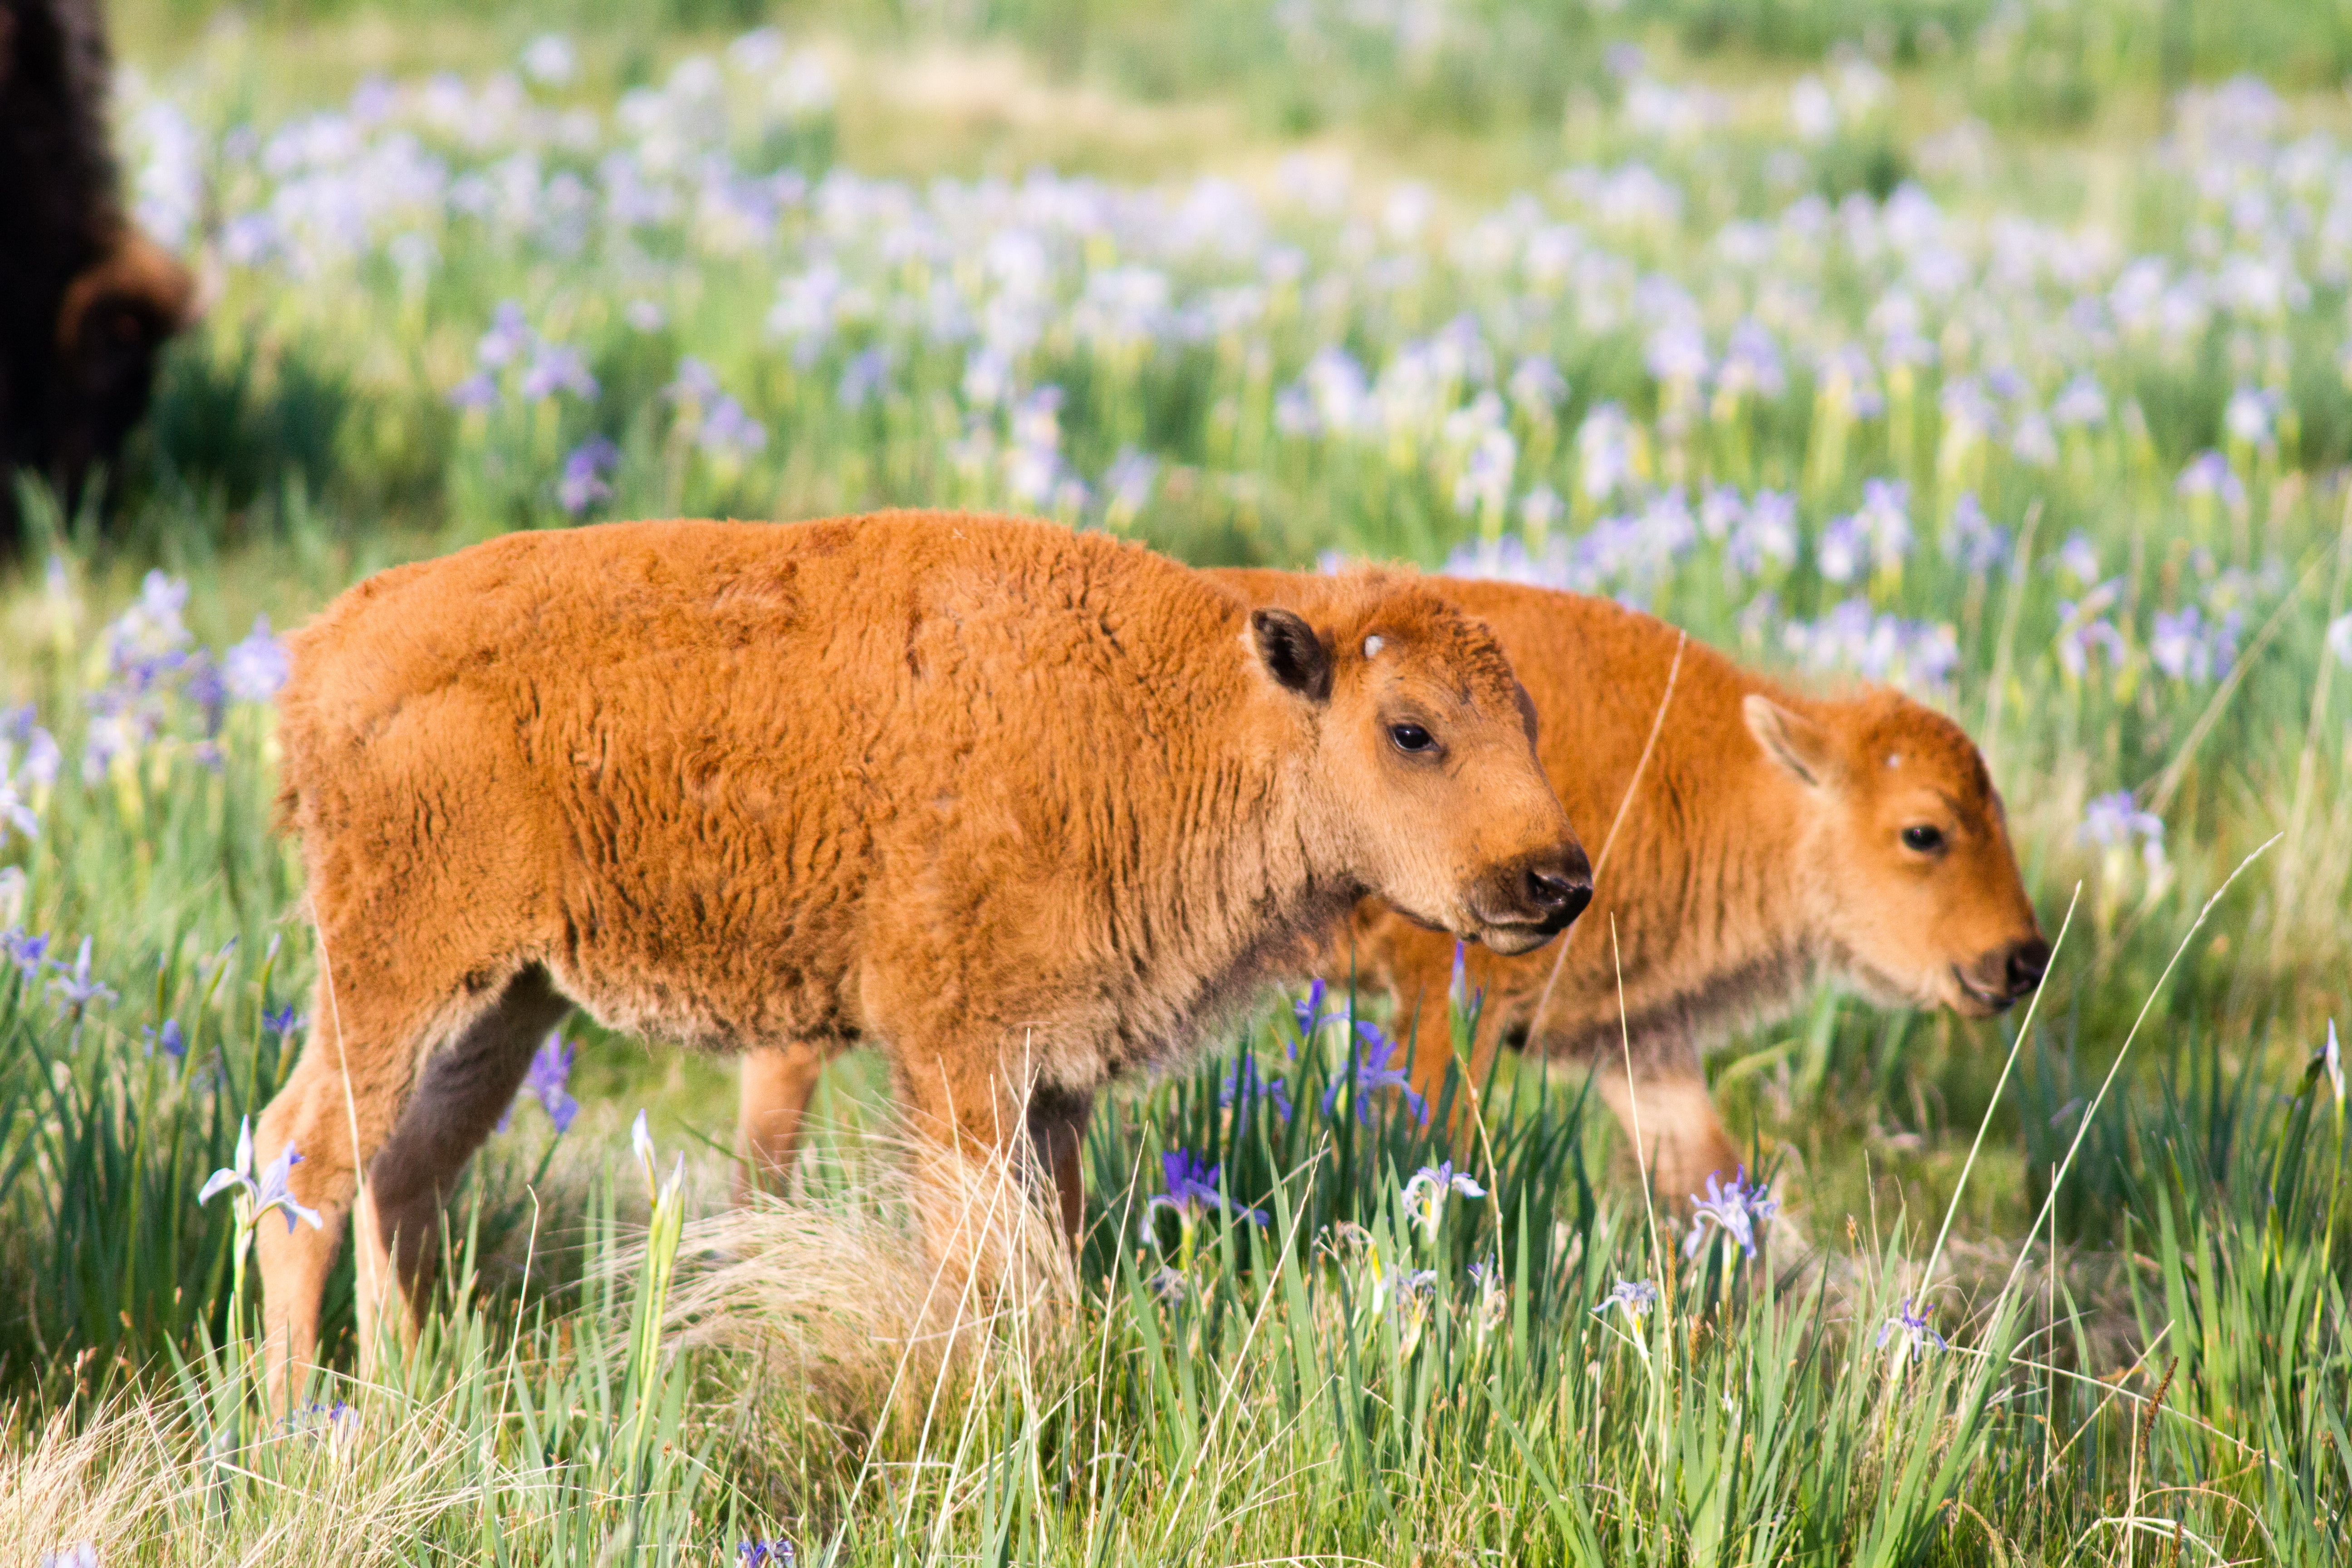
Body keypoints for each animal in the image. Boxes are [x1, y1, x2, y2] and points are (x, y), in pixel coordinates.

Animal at [738, 571, 2041, 1213]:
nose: (2021, 959)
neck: (1701, 762)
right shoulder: (1444, 1004)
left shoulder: (1636, 1045)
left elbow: (1711, 1181)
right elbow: (1440, 1146)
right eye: (1924, 832)